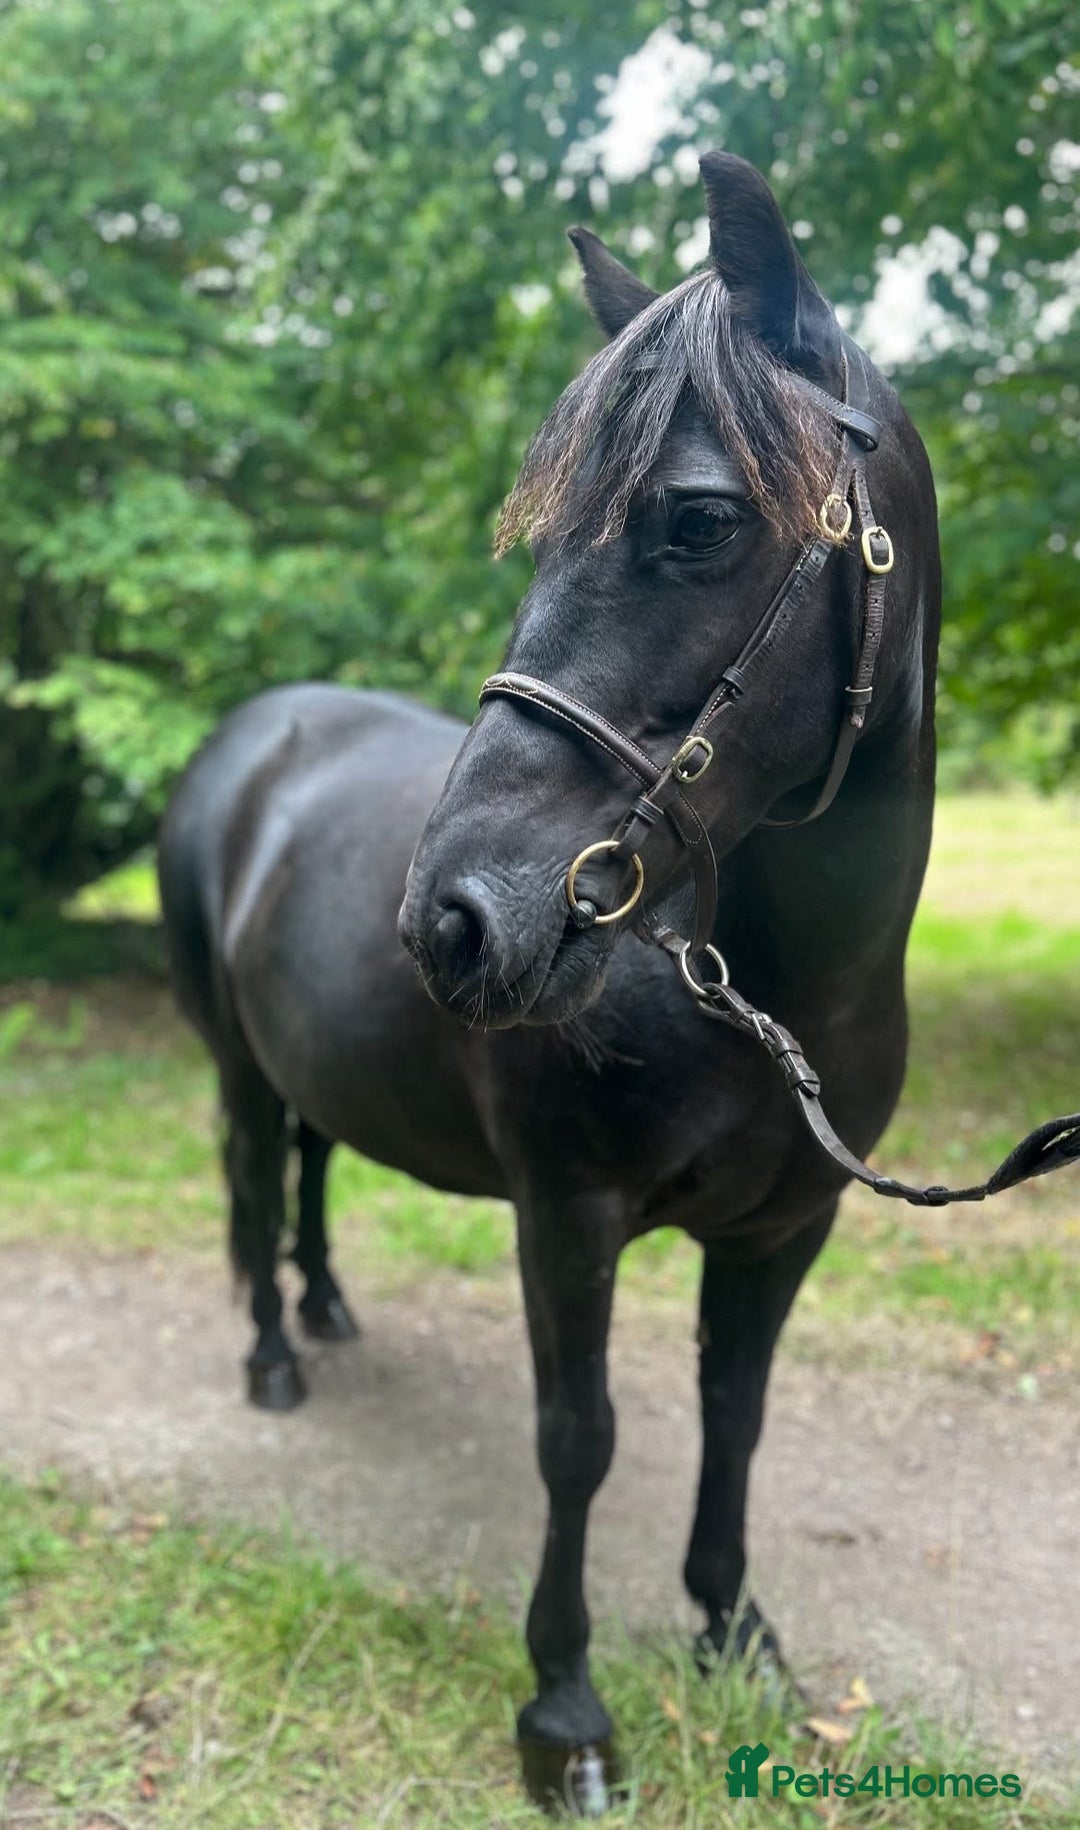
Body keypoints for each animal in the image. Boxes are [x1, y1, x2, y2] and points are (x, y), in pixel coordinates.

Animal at [160, 153, 941, 1814]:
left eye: (698, 518)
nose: (454, 918)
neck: (769, 1003)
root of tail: (250, 737)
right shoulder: (566, 1212)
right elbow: (578, 1436)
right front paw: (567, 1711)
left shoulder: (787, 1228)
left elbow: (733, 1415)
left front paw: (733, 1633)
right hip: (236, 1063)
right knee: (255, 1172)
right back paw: (273, 1353)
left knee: (312, 1165)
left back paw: (328, 1307)